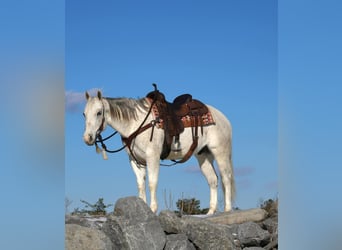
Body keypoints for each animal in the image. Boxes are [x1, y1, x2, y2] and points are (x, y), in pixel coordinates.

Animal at [83, 89, 235, 214]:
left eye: (99, 112)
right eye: (84, 114)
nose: (87, 138)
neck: (136, 123)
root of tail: (223, 118)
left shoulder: (152, 157)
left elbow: (152, 182)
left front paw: (152, 209)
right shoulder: (135, 160)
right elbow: (140, 184)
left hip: (220, 152)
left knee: (226, 178)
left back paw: (227, 209)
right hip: (203, 156)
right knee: (213, 180)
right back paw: (211, 212)